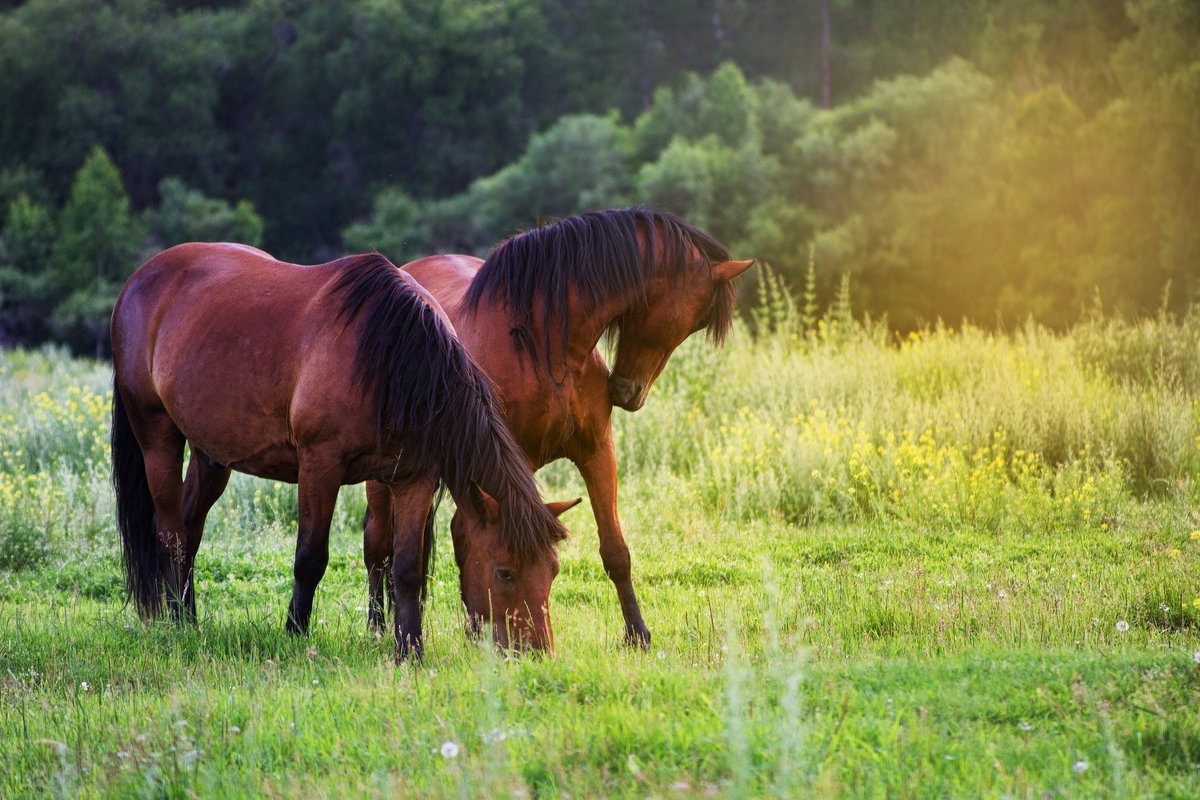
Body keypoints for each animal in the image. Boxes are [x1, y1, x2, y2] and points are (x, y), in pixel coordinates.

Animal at [110, 242, 573, 657]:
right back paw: (176, 623)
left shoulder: (415, 479)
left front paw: (411, 650)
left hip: (211, 454)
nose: (537, 652)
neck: (388, 360)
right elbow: (310, 557)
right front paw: (295, 634)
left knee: (191, 528)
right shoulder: (320, 467)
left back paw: (190, 618)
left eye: (553, 571)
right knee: (170, 530)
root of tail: (138, 280)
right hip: (157, 435)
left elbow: (406, 567)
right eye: (505, 573)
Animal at [362, 209, 748, 647]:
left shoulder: (597, 450)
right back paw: (379, 626)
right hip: (387, 479)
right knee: (378, 543)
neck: (545, 348)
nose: (629, 392)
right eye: (694, 318)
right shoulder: (514, 465)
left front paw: (638, 634)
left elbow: (615, 550)